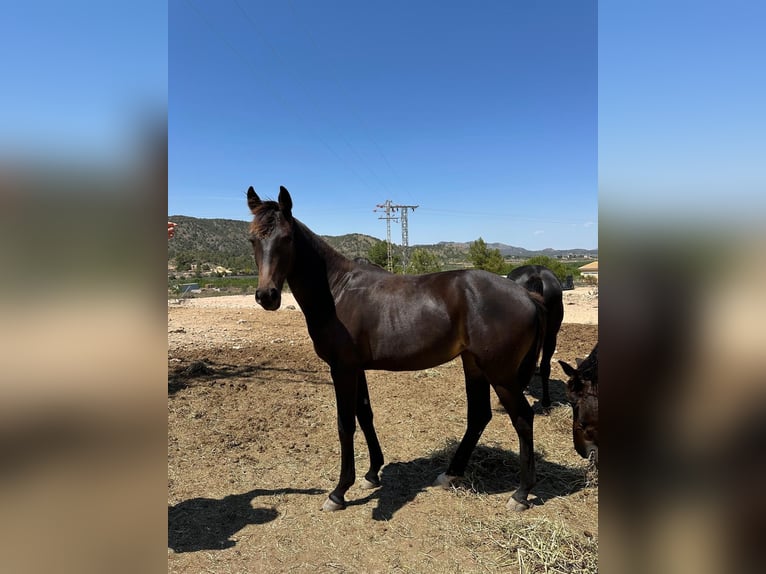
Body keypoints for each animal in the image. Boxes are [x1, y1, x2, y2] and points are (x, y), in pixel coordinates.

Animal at [247, 186, 547, 512]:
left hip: (501, 374)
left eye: (287, 238)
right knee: (479, 416)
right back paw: (451, 474)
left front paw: (339, 492)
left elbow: (345, 424)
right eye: (252, 239)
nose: (267, 296)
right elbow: (365, 415)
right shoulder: (356, 368)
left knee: (523, 418)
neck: (336, 291)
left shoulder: (342, 369)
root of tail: (527, 295)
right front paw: (372, 473)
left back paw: (521, 493)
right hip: (474, 365)